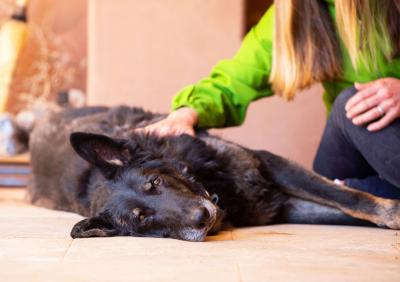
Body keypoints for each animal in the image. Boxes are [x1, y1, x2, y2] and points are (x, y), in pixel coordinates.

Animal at [28, 104, 400, 241]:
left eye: (155, 182)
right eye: (141, 218)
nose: (200, 218)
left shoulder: (269, 165)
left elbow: (346, 197)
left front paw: (391, 212)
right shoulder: (286, 207)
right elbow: (342, 208)